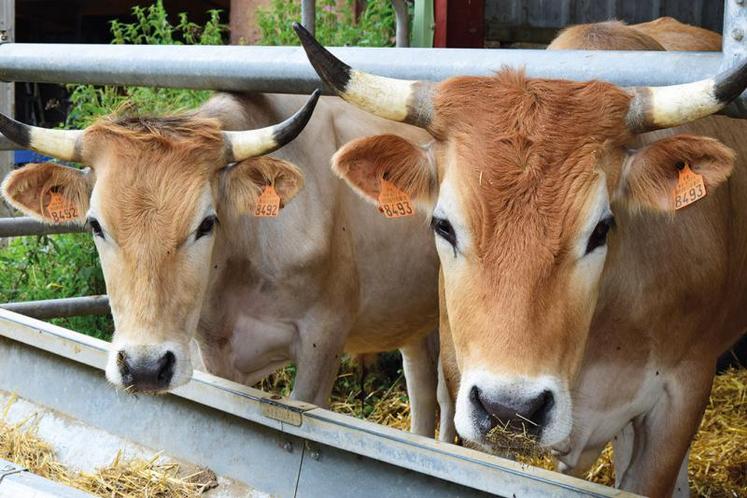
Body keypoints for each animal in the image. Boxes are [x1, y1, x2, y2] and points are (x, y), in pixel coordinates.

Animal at [1, 90, 444, 436]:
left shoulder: (323, 340)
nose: (144, 367)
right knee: (421, 382)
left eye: (206, 223)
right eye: (95, 224)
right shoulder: (211, 354)